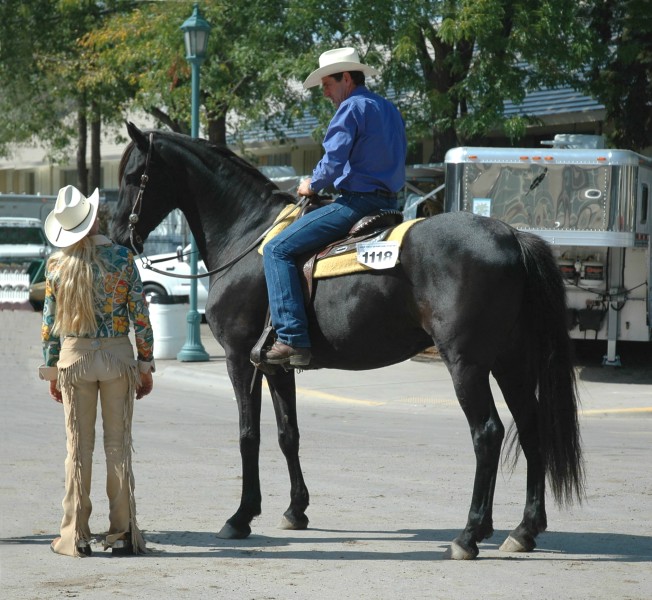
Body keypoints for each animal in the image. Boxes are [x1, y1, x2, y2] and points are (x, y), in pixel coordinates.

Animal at [109, 124, 584, 560]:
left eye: (133, 176)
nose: (117, 236)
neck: (248, 236)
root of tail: (512, 236)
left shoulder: (240, 359)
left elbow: (248, 435)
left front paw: (241, 517)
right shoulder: (276, 364)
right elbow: (288, 433)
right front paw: (295, 510)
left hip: (467, 363)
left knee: (487, 434)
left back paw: (469, 535)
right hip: (511, 361)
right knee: (531, 428)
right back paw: (523, 530)